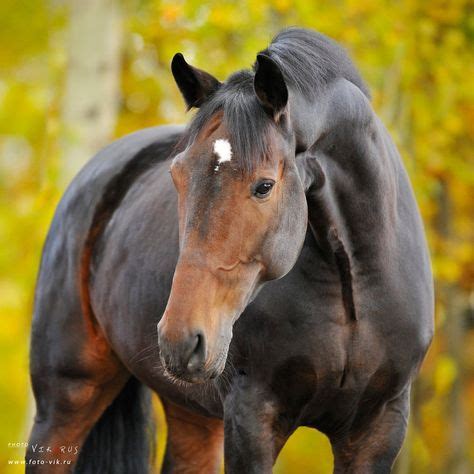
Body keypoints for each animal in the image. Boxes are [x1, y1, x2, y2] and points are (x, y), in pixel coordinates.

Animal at [26, 27, 434, 472]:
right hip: (66, 399)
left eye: (264, 186)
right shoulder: (251, 417)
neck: (352, 288)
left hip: (192, 415)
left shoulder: (378, 427)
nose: (180, 338)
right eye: (177, 175)